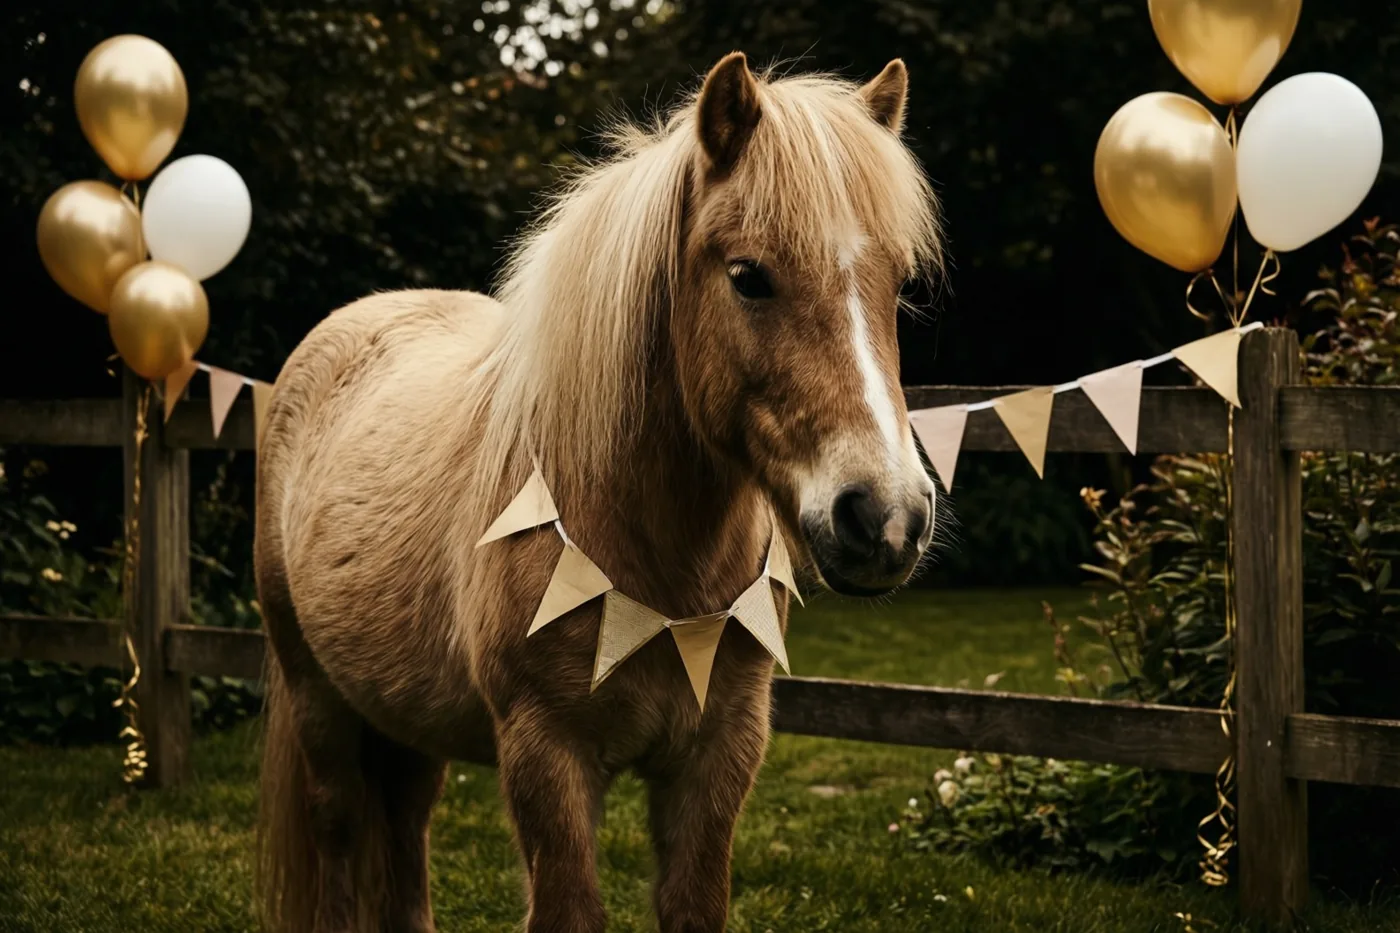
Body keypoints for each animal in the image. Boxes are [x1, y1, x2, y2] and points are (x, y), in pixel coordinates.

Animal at [254, 51, 943, 933]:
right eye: (748, 276)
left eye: (898, 283)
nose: (886, 517)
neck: (655, 569)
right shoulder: (547, 758)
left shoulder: (718, 757)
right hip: (317, 696)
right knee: (341, 830)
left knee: (406, 827)